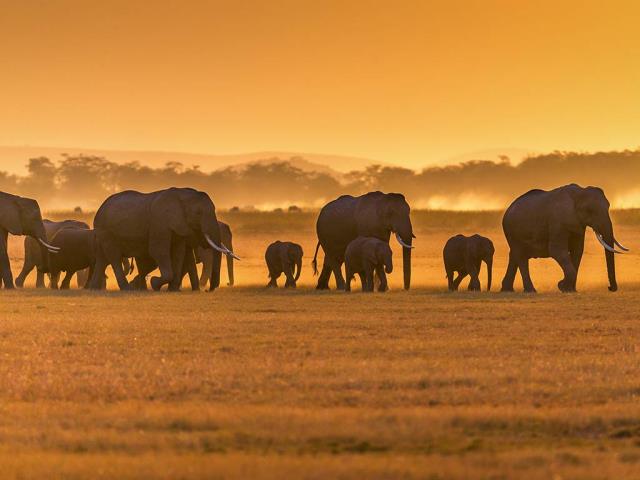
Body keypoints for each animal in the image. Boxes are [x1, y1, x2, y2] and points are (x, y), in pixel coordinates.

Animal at [90, 187, 237, 291]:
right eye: (198, 213)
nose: (208, 290)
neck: (182, 194)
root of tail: (100, 208)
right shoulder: (159, 223)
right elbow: (158, 251)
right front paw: (155, 283)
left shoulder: (178, 226)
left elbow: (178, 254)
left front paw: (172, 290)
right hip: (106, 231)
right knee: (113, 257)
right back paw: (127, 289)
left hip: (102, 232)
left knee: (102, 259)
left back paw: (94, 289)